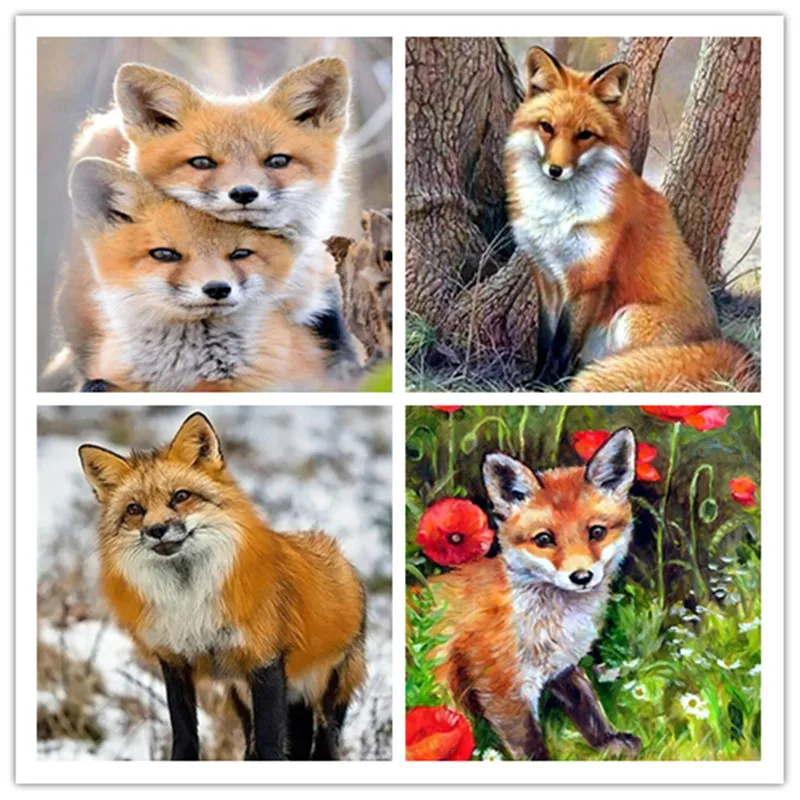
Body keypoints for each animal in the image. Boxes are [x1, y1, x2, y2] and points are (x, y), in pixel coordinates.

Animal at [78, 412, 366, 760]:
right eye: (135, 510)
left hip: (328, 694)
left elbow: (270, 746)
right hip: (244, 696)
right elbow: (185, 738)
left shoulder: (264, 661)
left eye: (181, 496)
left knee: (323, 748)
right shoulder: (175, 664)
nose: (157, 530)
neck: (189, 600)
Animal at [429, 428, 642, 760]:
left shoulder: (562, 667)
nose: (581, 577)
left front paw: (608, 740)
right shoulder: (499, 682)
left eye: (596, 532)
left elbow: (588, 705)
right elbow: (529, 742)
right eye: (544, 539)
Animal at [505, 47, 756, 392]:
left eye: (585, 135)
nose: (555, 170)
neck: (557, 213)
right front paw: (535, 381)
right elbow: (546, 340)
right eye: (547, 127)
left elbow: (562, 344)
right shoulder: (546, 275)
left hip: (629, 318)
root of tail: (719, 341)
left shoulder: (588, 280)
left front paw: (548, 386)